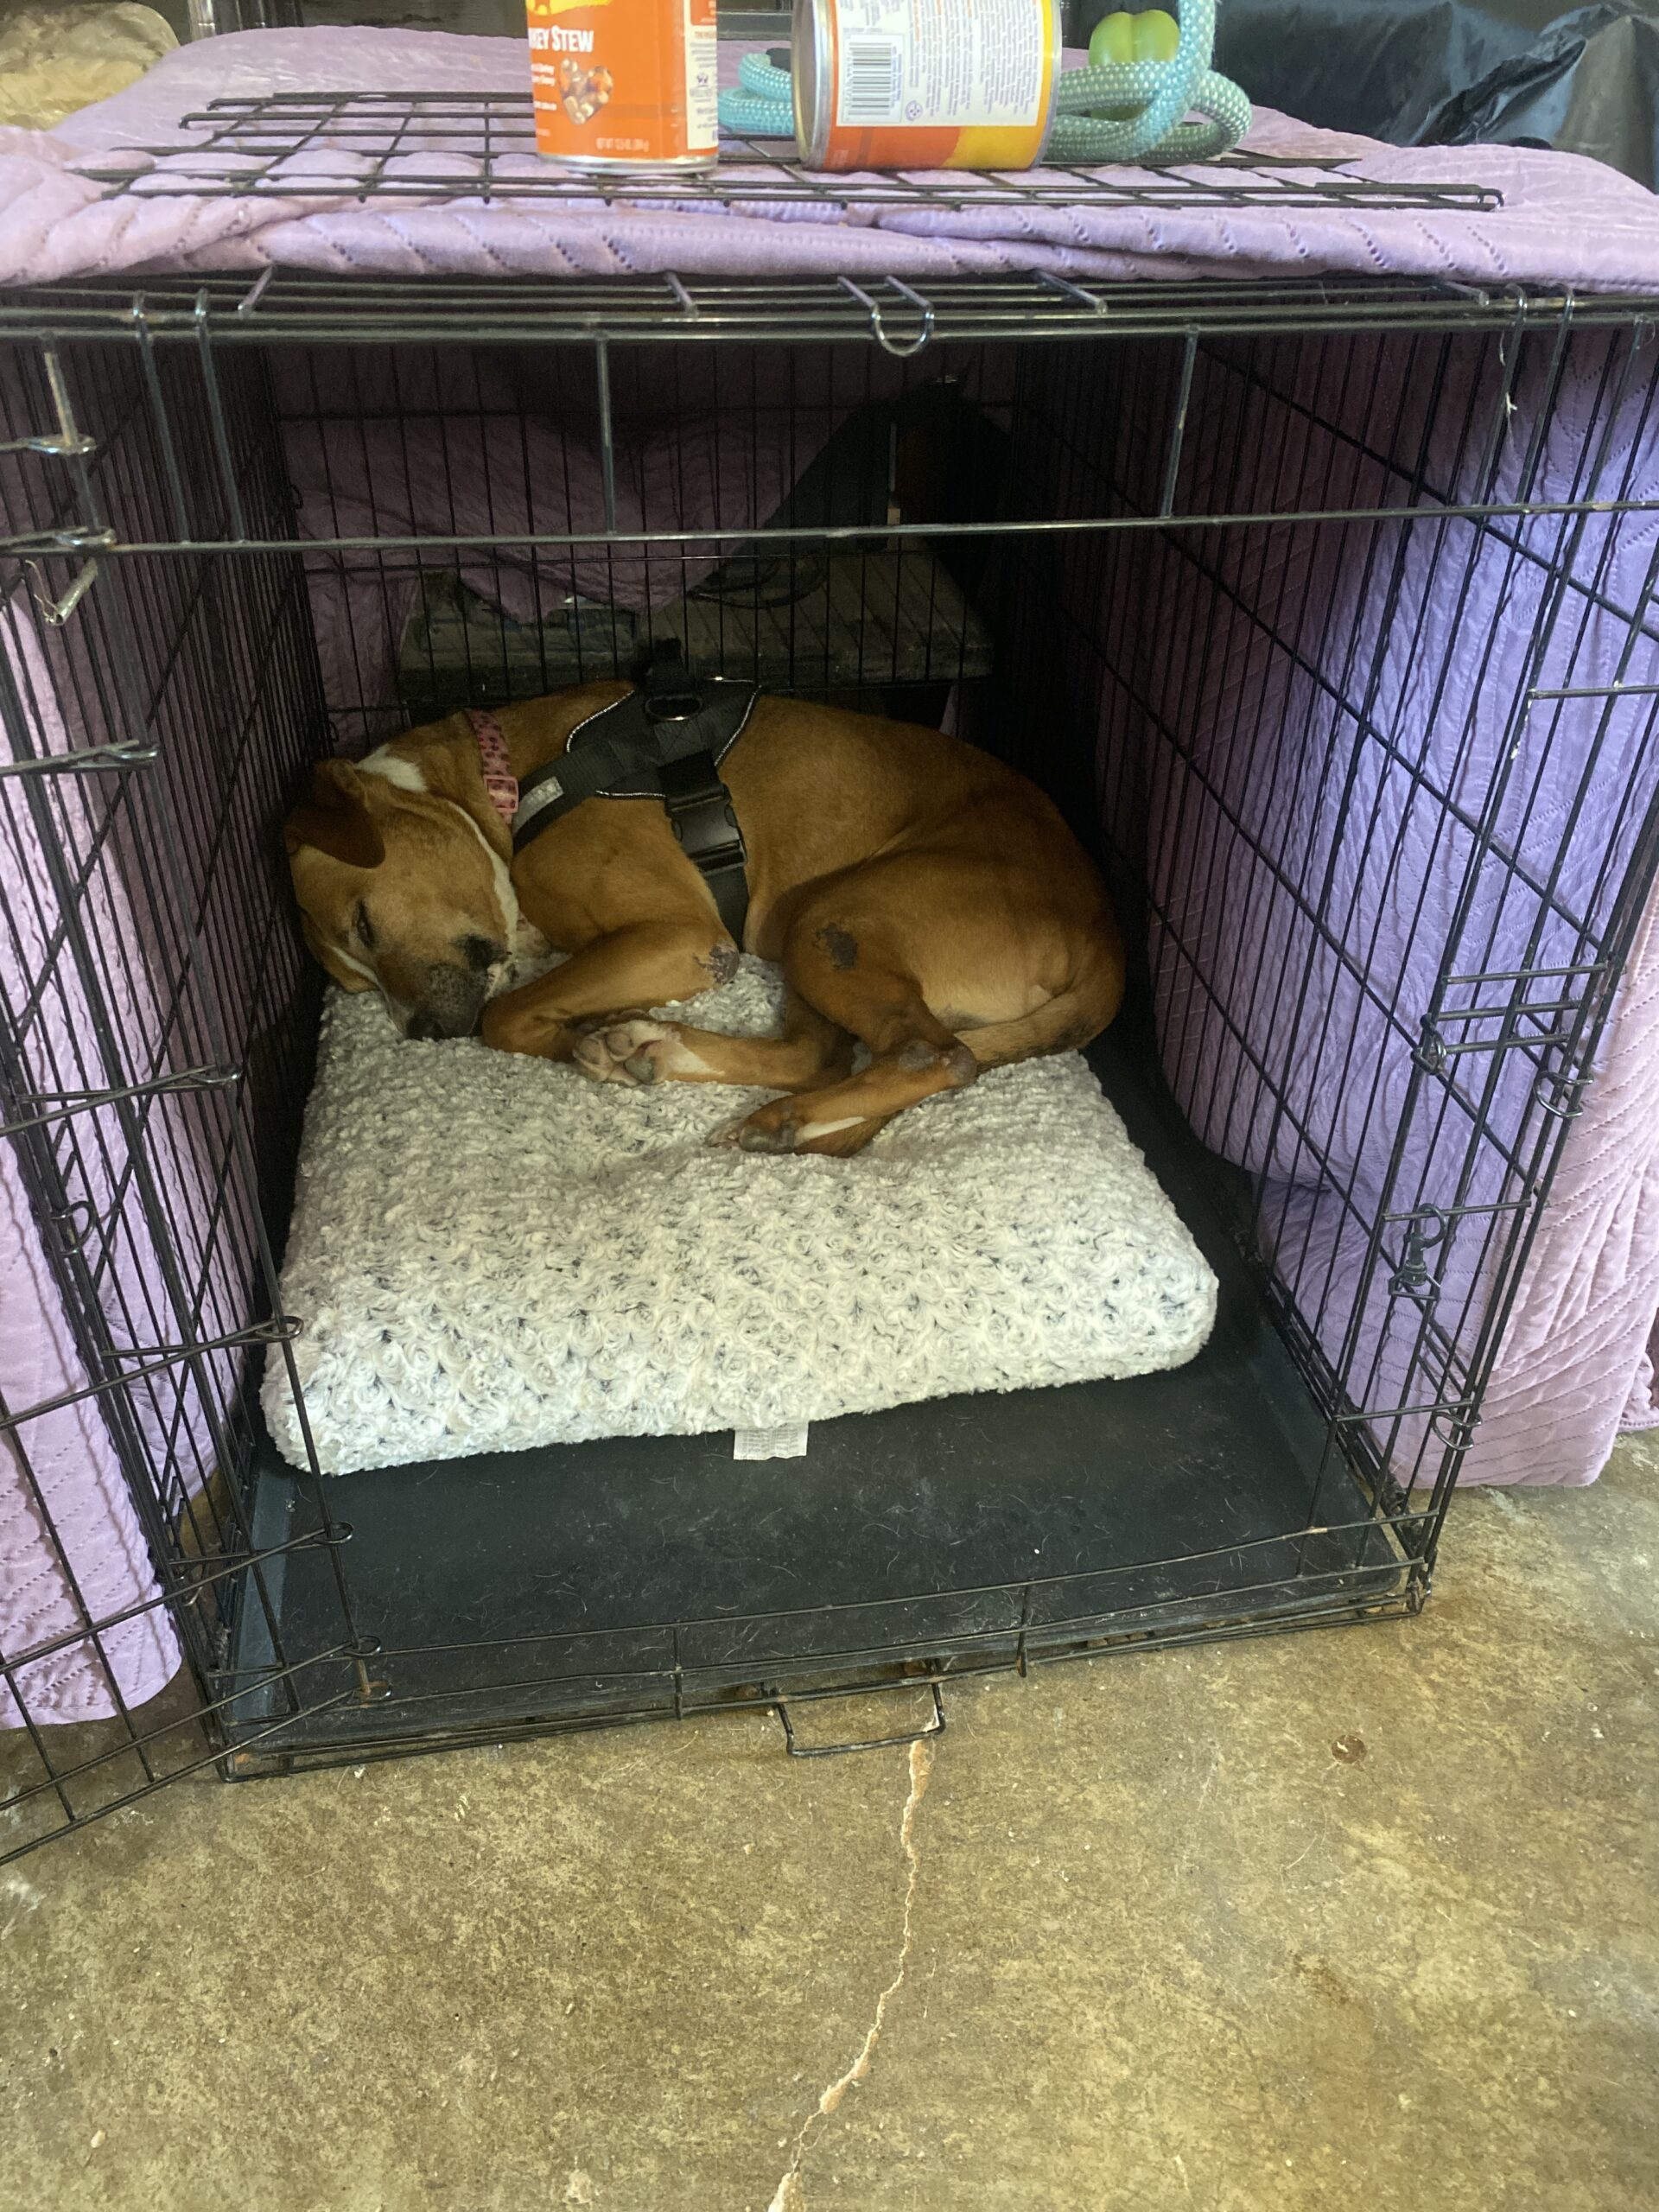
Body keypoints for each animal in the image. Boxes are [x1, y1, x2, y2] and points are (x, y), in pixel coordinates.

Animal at [284, 684, 1124, 1157]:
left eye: (364, 922)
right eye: (356, 986)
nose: (424, 1034)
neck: (503, 786)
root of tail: (1104, 936)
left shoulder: (681, 938)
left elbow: (507, 1013)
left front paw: (570, 1039)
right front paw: (598, 1041)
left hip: (832, 919)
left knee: (934, 1056)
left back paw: (776, 1115)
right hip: (813, 935)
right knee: (827, 1056)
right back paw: (670, 1054)